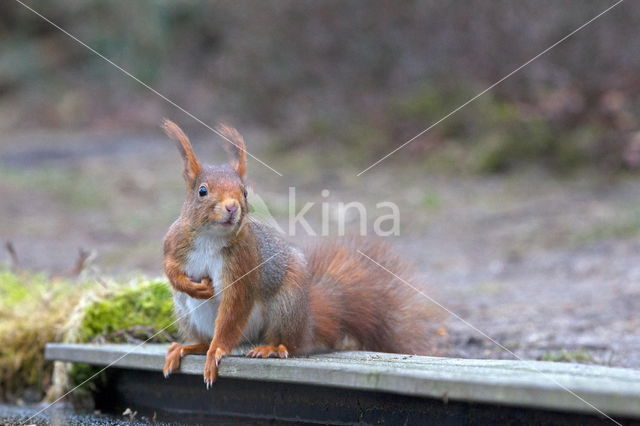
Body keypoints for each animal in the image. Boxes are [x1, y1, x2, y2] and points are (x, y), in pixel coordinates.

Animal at [160, 119, 436, 386]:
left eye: (245, 192)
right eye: (202, 191)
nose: (232, 207)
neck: (210, 237)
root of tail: (307, 324)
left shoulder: (243, 263)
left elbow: (233, 309)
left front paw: (217, 351)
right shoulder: (174, 243)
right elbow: (170, 269)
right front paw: (191, 286)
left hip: (286, 304)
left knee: (289, 344)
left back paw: (271, 348)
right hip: (185, 312)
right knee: (204, 336)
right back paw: (187, 347)